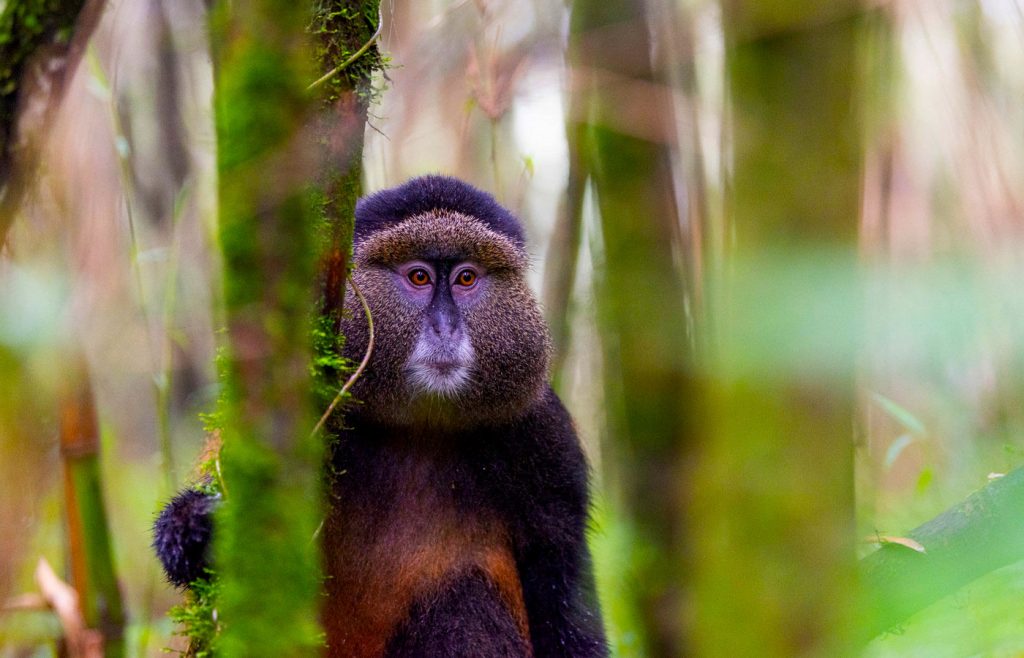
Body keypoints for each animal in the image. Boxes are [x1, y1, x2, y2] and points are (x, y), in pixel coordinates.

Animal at [154, 175, 608, 657]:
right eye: (419, 277)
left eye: (466, 277)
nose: (445, 328)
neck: (421, 424)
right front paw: (195, 529)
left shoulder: (545, 437)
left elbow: (562, 592)